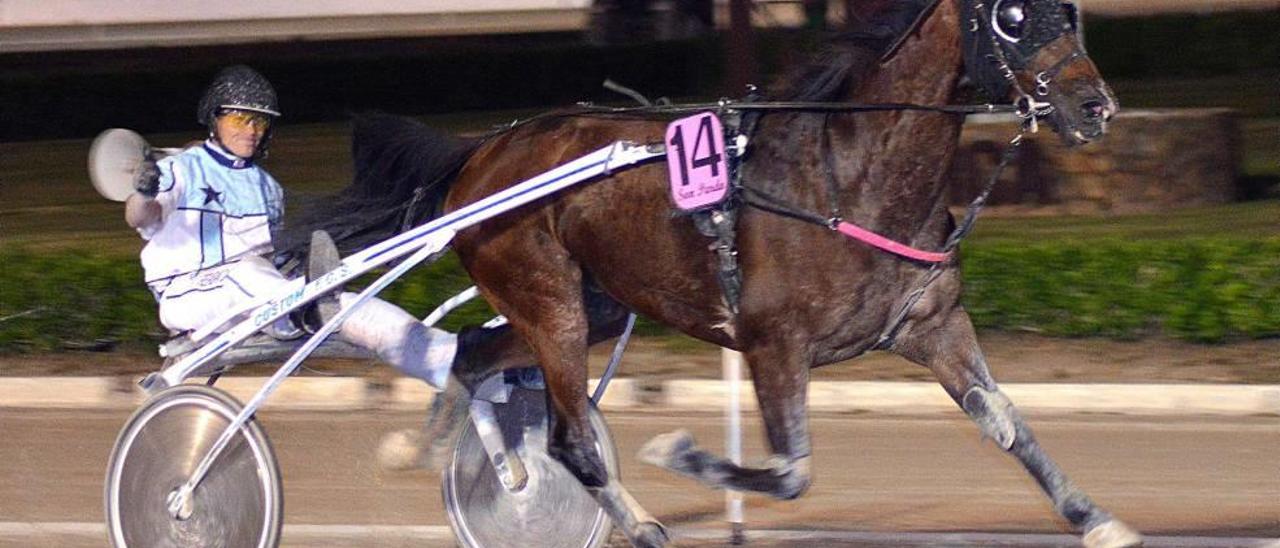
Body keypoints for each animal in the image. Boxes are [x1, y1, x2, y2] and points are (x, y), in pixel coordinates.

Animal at [288, 1, 1131, 548]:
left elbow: (1008, 422)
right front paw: (679, 456)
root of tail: (482, 153)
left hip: (590, 306)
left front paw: (1097, 519)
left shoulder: (933, 326)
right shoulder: (773, 344)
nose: (1095, 105)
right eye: (1013, 17)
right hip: (549, 300)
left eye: (1071, 11)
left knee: (470, 352)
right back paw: (638, 525)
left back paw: (434, 454)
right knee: (571, 439)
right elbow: (790, 473)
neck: (846, 174)